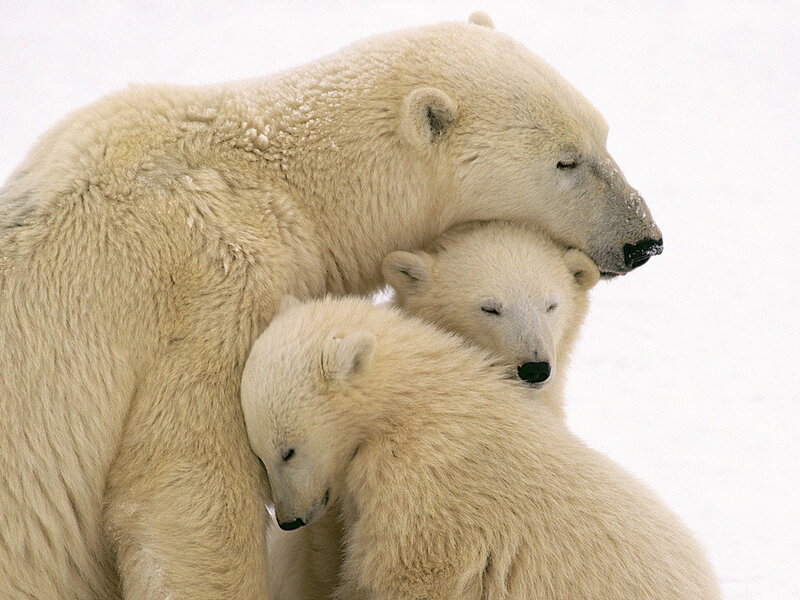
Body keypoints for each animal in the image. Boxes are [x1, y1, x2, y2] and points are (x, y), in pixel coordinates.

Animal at [242, 295, 720, 600]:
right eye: (259, 455)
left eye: (288, 450)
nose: (288, 520)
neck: (413, 404)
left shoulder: (426, 490)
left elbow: (405, 575)